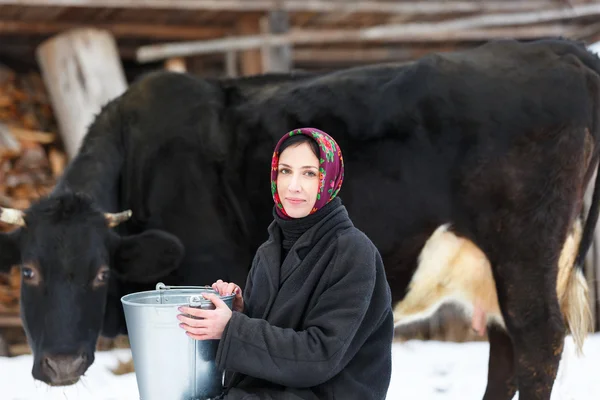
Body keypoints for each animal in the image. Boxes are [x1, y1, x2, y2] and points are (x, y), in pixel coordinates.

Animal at [1, 38, 600, 400]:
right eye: (27, 272)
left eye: (101, 274)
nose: (59, 364)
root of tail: (560, 49)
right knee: (505, 347)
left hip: (524, 250)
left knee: (537, 340)